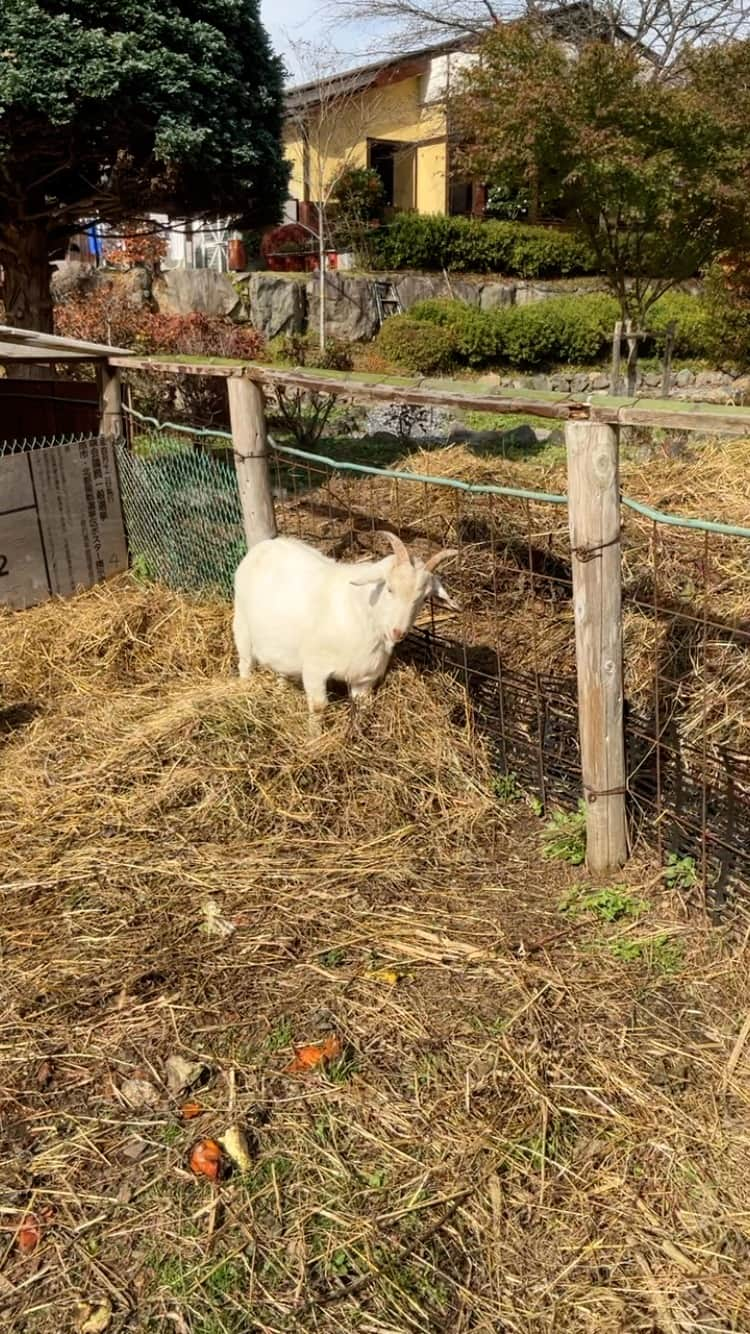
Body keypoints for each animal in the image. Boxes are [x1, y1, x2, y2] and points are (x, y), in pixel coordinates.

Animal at [232, 530, 456, 731]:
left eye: (424, 598)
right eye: (389, 588)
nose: (398, 632)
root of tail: (266, 545)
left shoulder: (364, 677)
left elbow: (362, 707)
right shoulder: (314, 666)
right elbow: (318, 706)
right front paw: (314, 739)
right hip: (241, 625)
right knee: (245, 664)